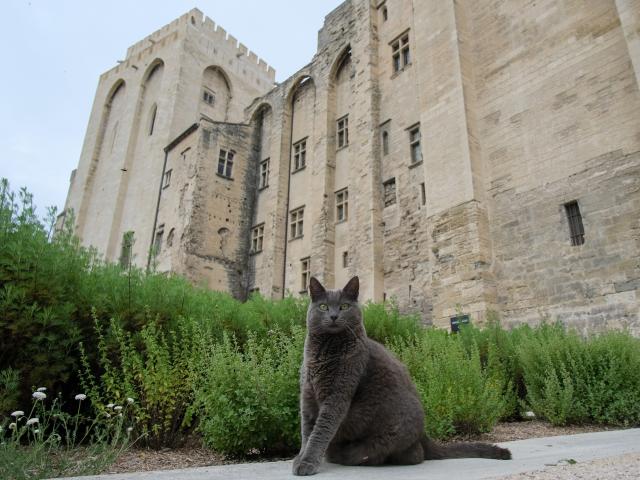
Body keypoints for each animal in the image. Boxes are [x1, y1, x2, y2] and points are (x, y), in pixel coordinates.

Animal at [292, 276, 512, 474]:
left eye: (344, 306)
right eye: (323, 307)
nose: (333, 316)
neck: (323, 353)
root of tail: (424, 433)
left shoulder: (338, 393)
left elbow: (321, 430)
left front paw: (307, 463)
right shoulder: (307, 393)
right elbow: (306, 430)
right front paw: (300, 458)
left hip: (389, 432)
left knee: (413, 455)